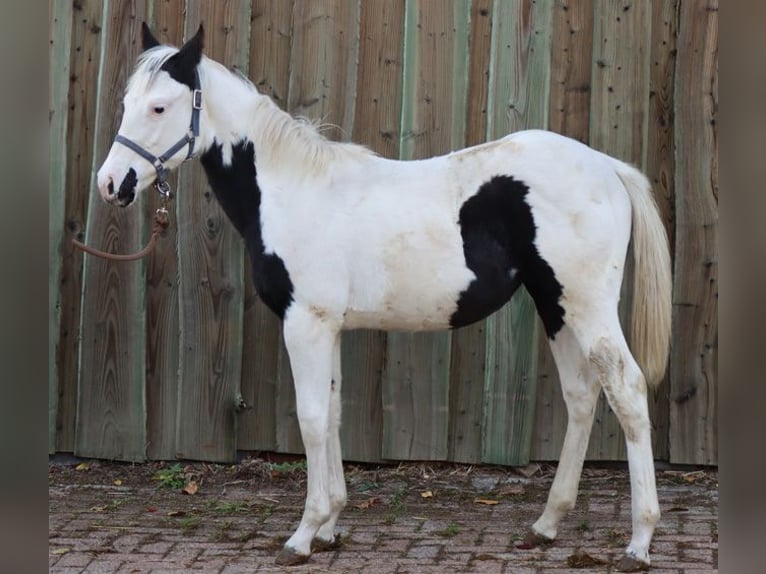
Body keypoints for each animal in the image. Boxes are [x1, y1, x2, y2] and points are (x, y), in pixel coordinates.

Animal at [95, 23, 671, 571]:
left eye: (159, 106)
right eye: (126, 102)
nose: (111, 183)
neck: (294, 190)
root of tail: (608, 167)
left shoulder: (305, 322)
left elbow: (311, 418)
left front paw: (303, 535)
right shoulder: (328, 327)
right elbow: (332, 412)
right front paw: (330, 527)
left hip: (588, 307)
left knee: (627, 390)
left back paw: (639, 542)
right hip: (556, 305)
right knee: (582, 395)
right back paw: (546, 525)